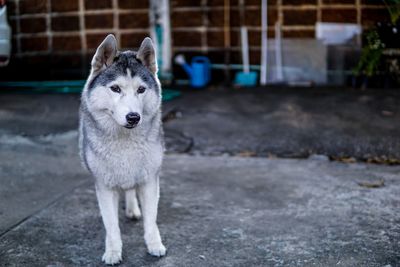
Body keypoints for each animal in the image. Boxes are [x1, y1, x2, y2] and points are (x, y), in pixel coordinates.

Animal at [79, 34, 166, 266]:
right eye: (115, 88)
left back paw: (133, 208)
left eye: (141, 90)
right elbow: (111, 226)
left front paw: (154, 244)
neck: (124, 140)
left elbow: (151, 219)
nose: (133, 117)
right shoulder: (104, 185)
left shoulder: (149, 180)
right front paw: (112, 251)